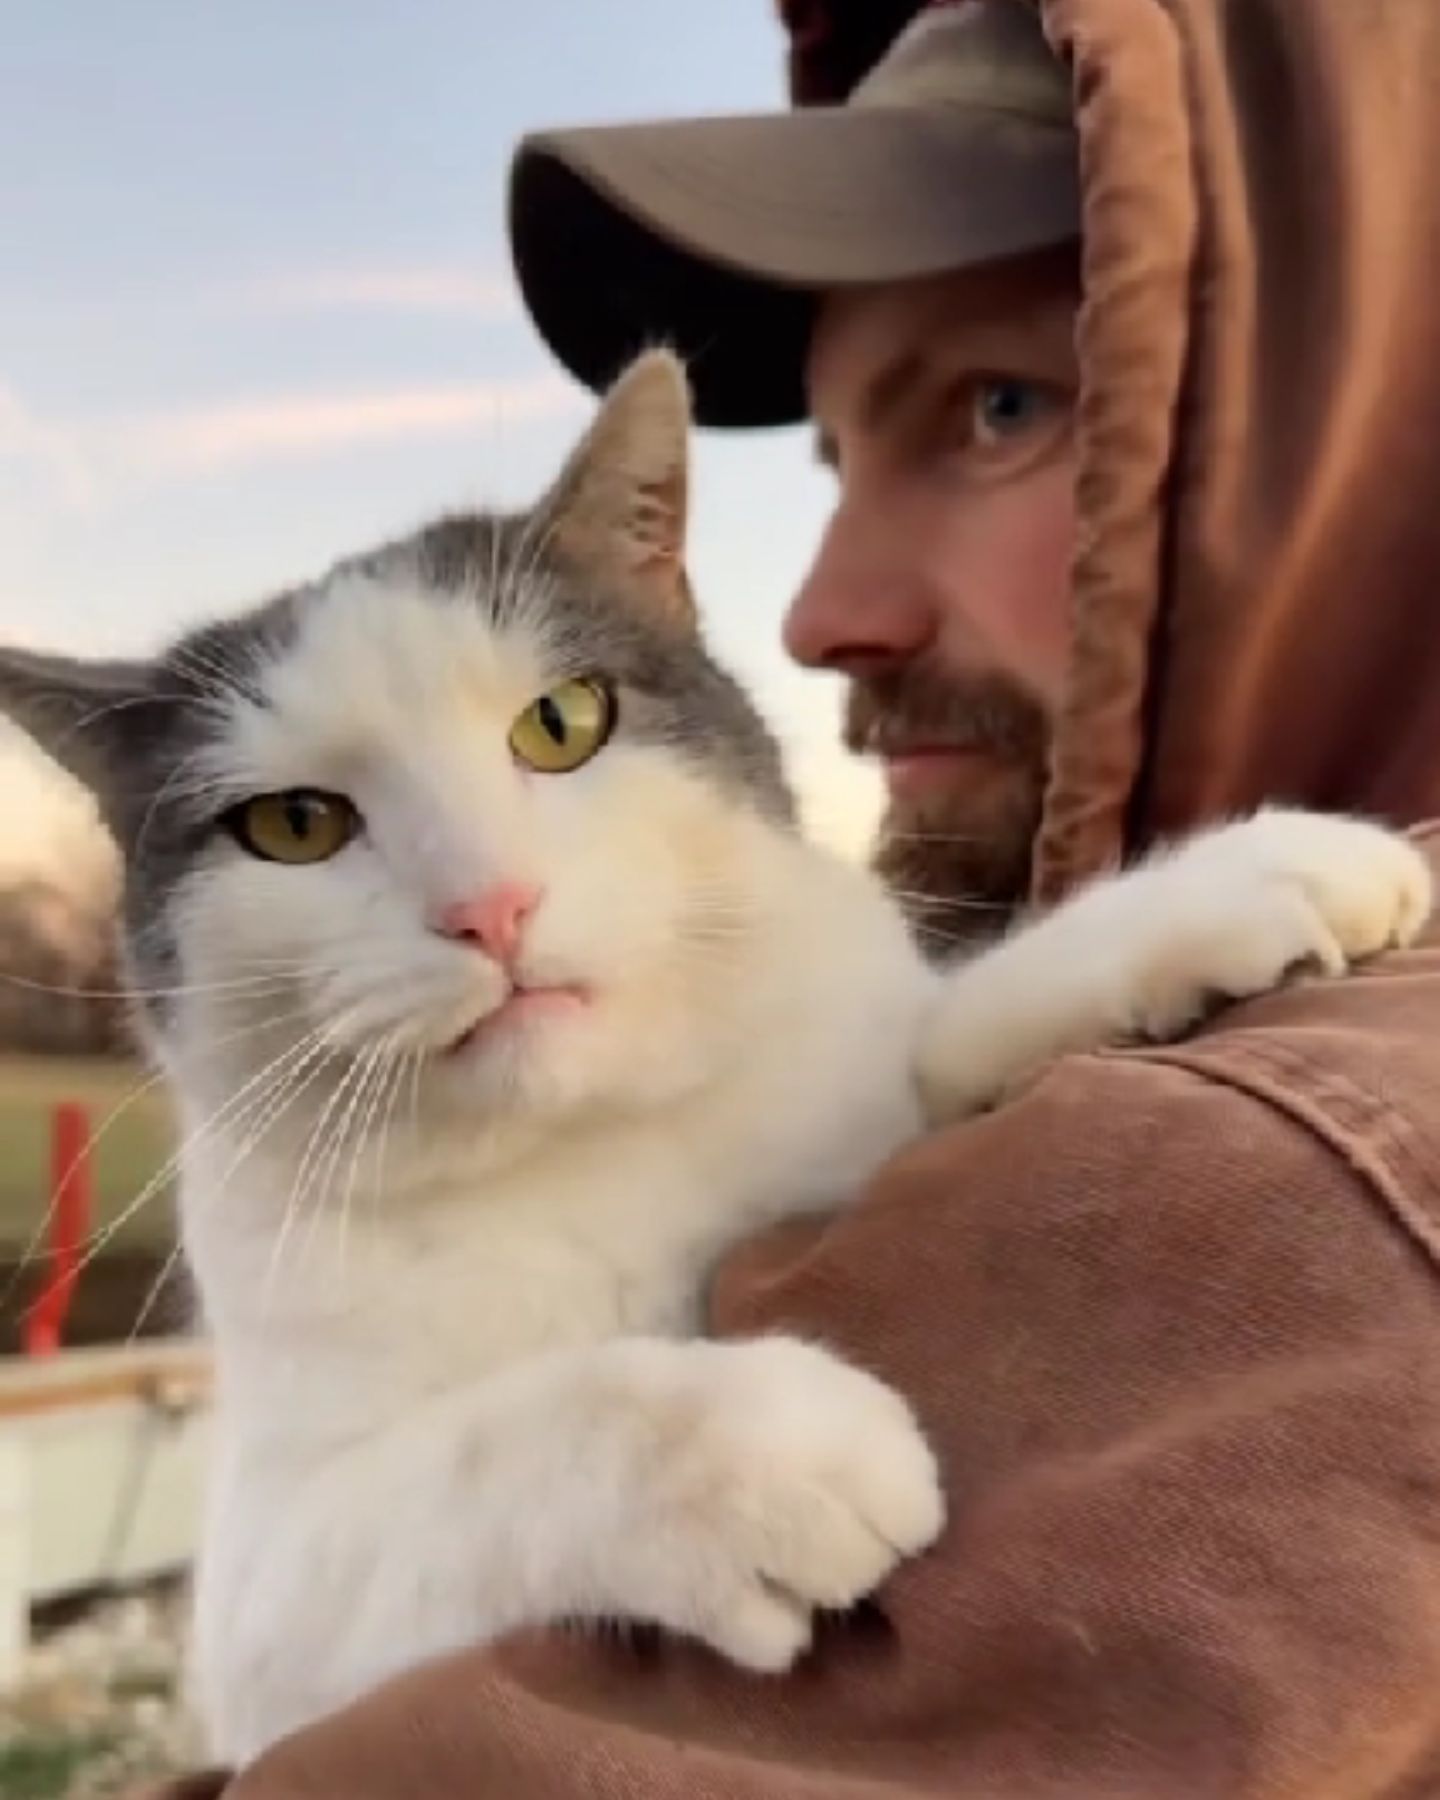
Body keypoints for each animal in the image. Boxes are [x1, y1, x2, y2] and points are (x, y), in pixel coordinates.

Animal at [0, 347, 1425, 1756]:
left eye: (562, 722)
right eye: (295, 826)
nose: (489, 906)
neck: (605, 1140)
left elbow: (935, 1035)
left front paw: (1241, 883)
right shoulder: (265, 1605)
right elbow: (509, 1441)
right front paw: (778, 1454)